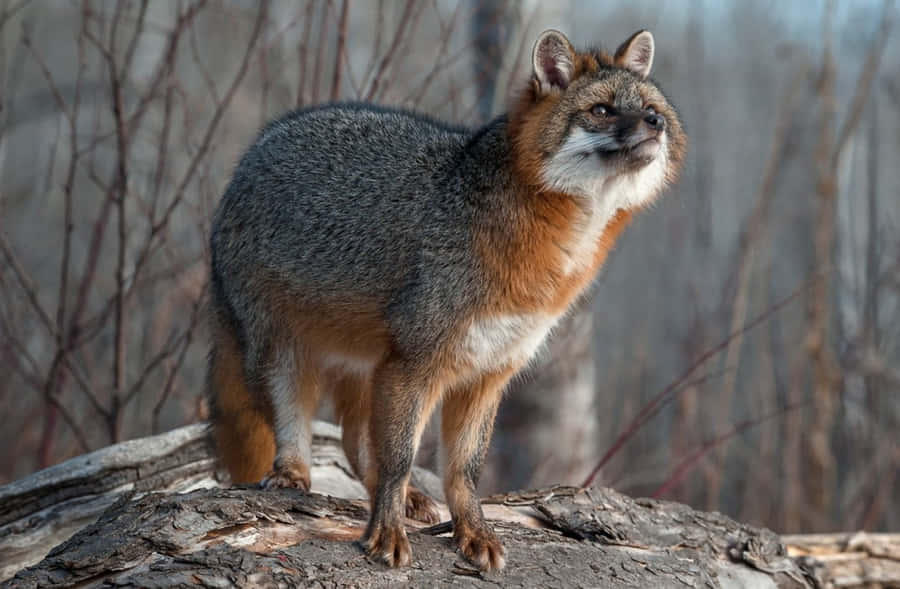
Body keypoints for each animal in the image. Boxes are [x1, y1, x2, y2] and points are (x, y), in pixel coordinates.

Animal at [207, 28, 685, 571]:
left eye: (650, 108)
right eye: (602, 110)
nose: (655, 124)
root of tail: (252, 153)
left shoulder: (488, 373)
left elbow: (464, 470)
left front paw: (472, 531)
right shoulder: (415, 363)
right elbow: (398, 460)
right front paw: (386, 532)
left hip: (368, 370)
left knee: (354, 443)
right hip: (285, 358)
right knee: (299, 427)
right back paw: (292, 473)